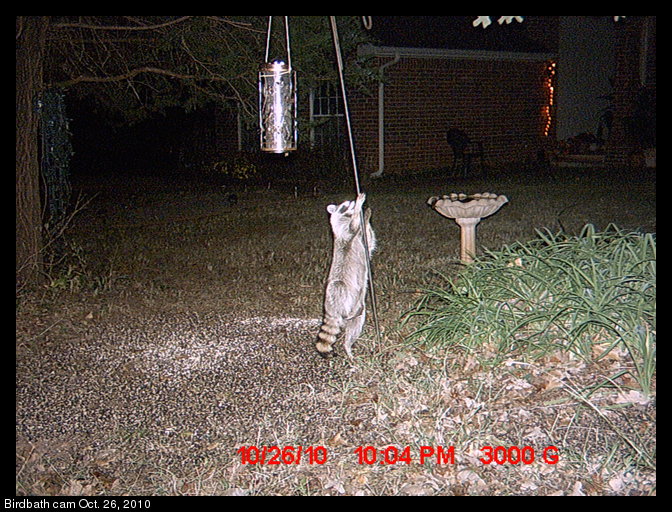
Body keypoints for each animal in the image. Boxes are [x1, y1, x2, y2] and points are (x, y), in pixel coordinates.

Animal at [316, 193, 376, 359]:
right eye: (344, 205)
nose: (353, 203)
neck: (346, 216)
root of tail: (331, 311)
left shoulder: (361, 239)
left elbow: (369, 242)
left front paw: (366, 216)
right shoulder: (343, 230)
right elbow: (353, 227)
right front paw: (360, 210)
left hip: (358, 309)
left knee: (355, 326)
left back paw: (347, 346)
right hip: (337, 290)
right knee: (337, 286)